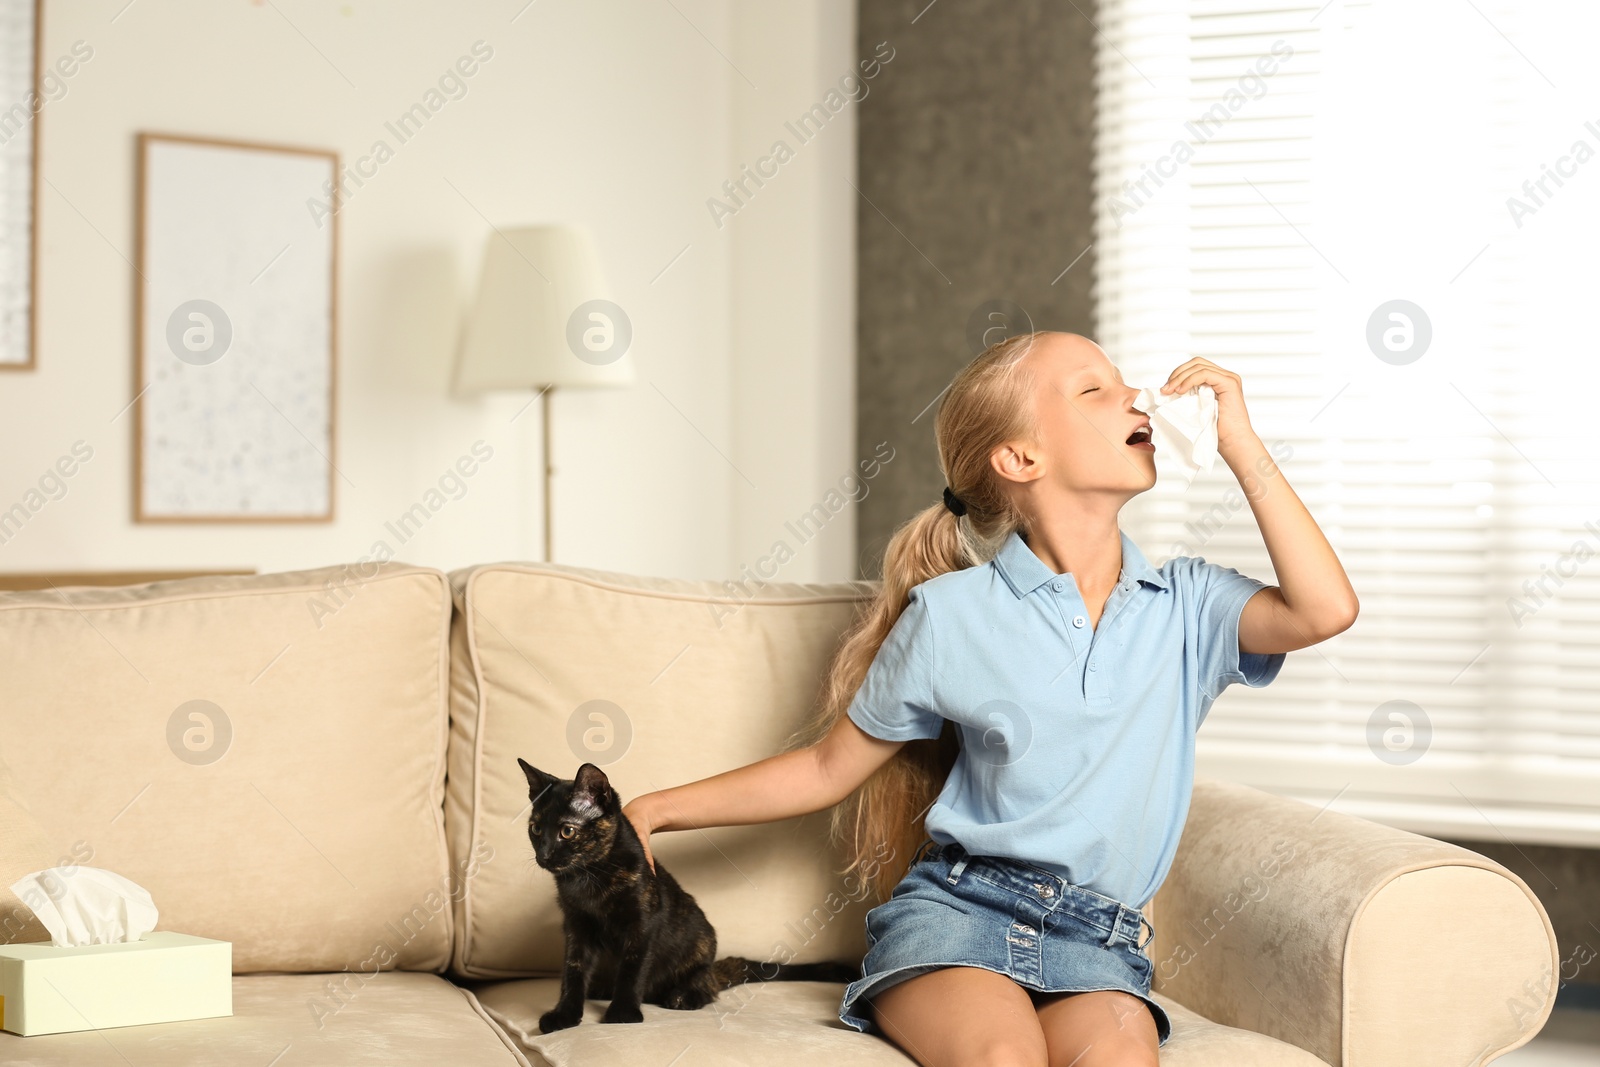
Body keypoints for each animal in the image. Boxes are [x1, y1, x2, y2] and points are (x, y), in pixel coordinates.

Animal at [518, 755, 857, 1030]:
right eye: (536, 829)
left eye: (567, 831)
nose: (543, 856)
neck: (588, 879)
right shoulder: (576, 927)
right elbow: (573, 972)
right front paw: (564, 1015)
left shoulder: (643, 925)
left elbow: (632, 969)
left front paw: (623, 1012)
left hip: (701, 942)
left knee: (707, 986)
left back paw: (683, 995)